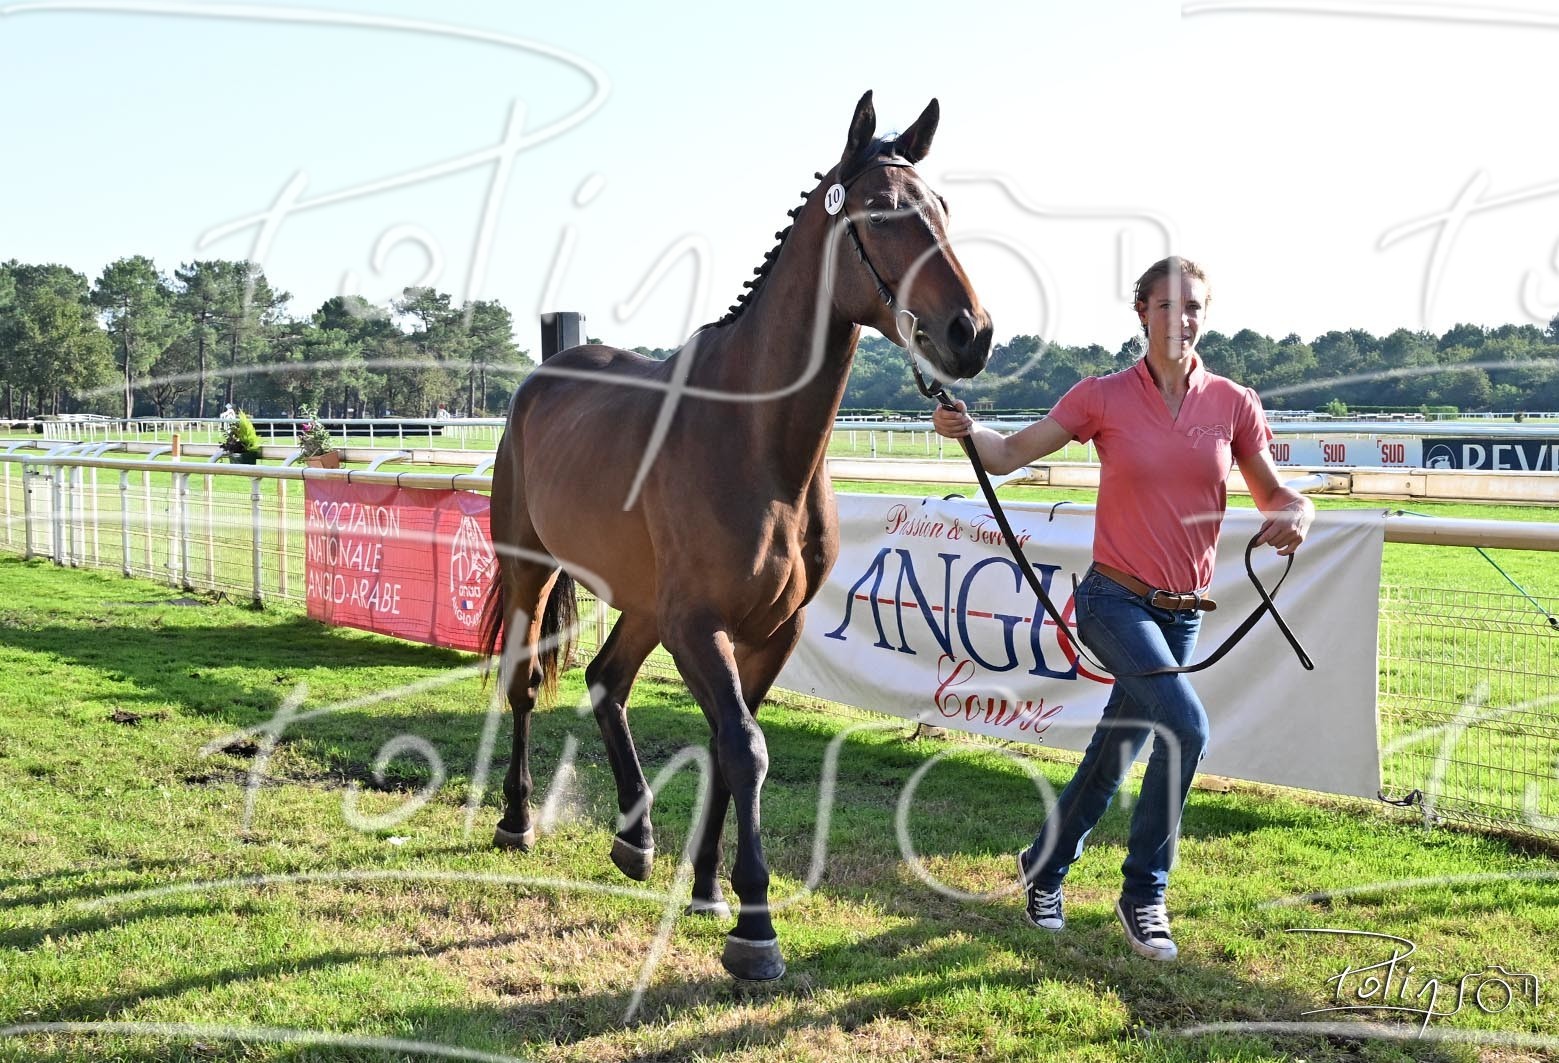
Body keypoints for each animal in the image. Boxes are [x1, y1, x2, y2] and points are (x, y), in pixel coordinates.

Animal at [480, 91, 992, 981]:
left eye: (942, 209)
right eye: (882, 213)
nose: (971, 332)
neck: (758, 442)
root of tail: (540, 380)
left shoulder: (768, 630)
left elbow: (729, 744)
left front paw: (709, 888)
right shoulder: (701, 625)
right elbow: (745, 748)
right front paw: (755, 924)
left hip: (645, 605)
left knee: (607, 680)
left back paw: (635, 836)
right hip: (532, 572)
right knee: (525, 680)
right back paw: (517, 819)